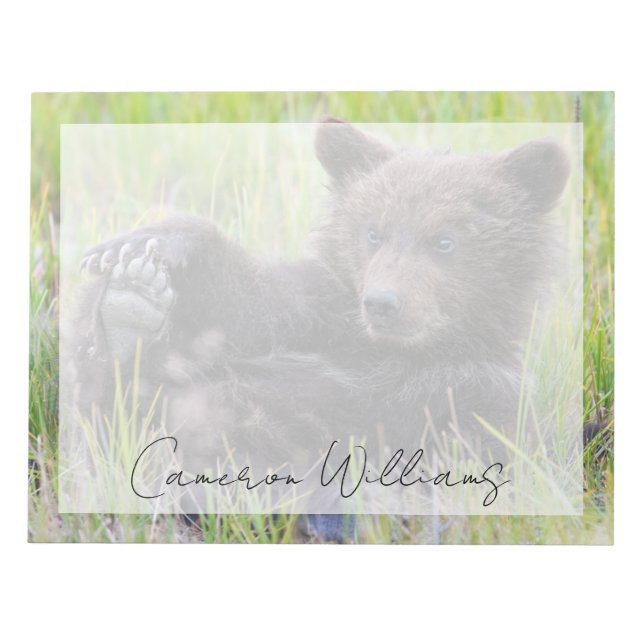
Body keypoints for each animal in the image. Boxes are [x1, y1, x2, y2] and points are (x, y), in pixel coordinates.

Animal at [72, 118, 571, 541]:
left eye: (445, 240)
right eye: (373, 232)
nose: (382, 302)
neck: (395, 352)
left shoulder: (481, 394)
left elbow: (469, 459)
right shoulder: (321, 315)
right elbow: (257, 305)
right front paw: (146, 250)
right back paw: (128, 312)